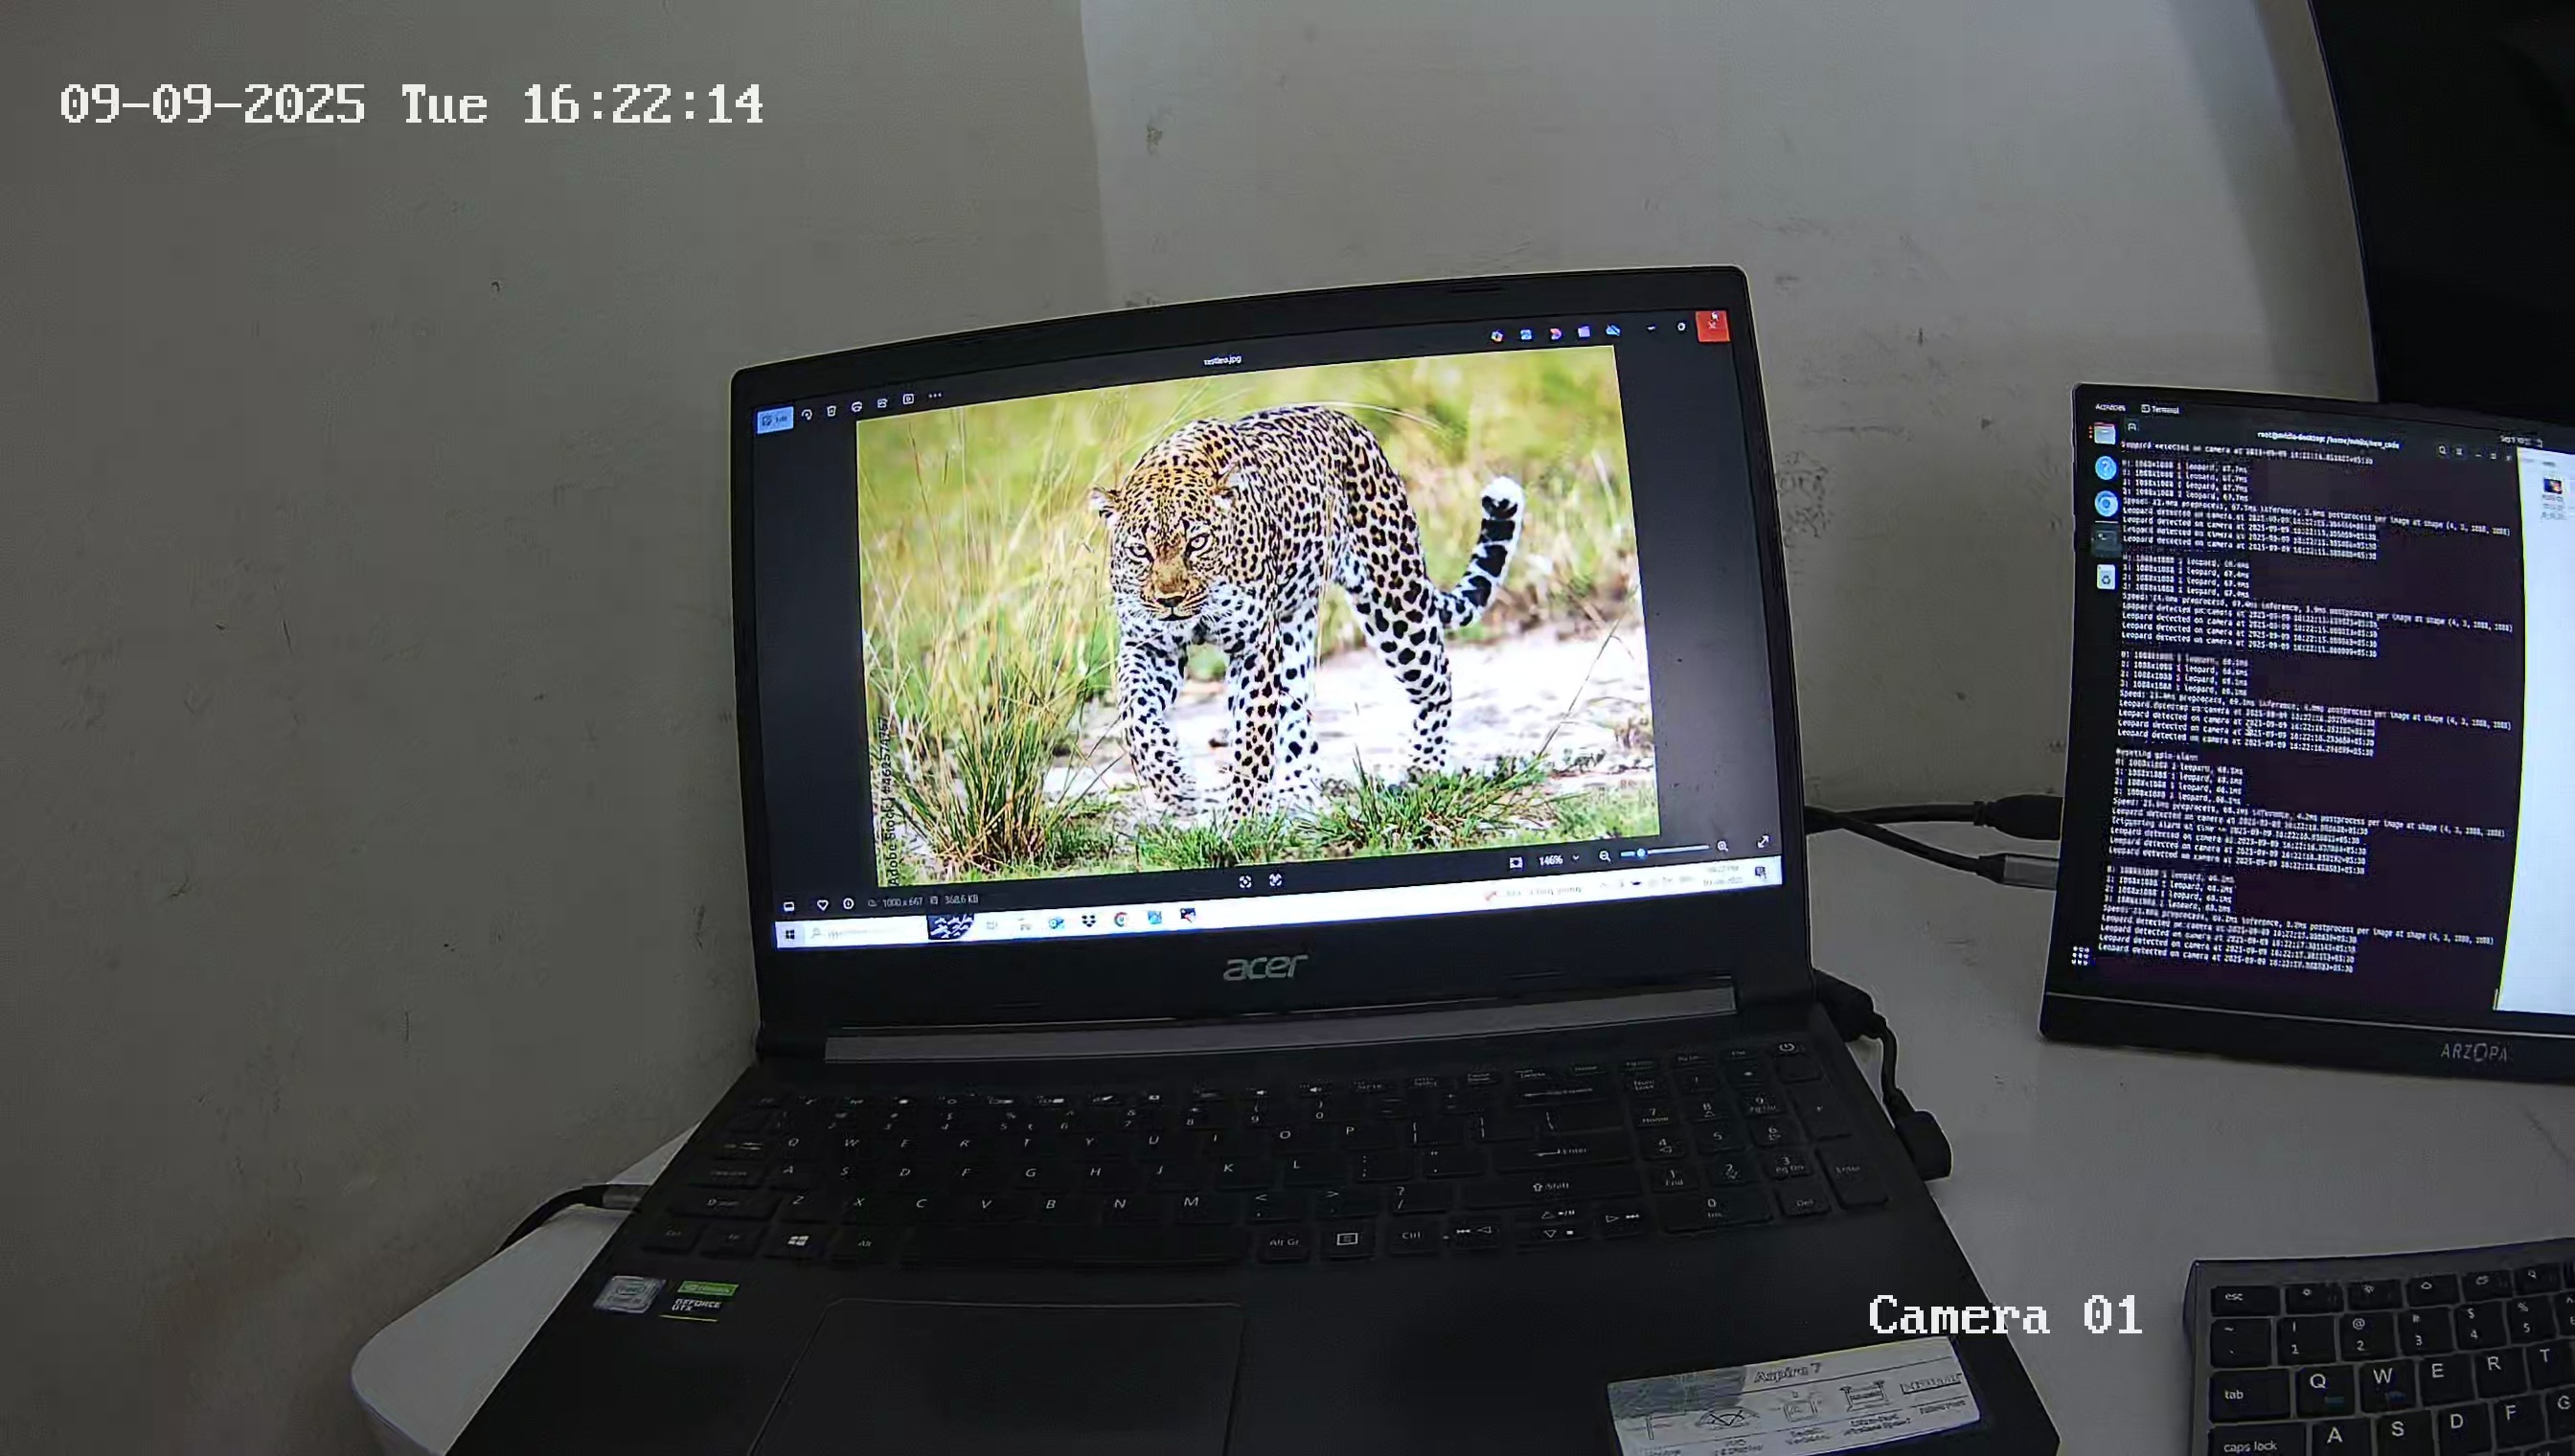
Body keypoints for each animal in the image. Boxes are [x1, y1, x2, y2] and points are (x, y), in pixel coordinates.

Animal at [1091, 403, 1525, 822]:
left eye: (1196, 543)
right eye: (1140, 551)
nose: (1170, 599)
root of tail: (1349, 422)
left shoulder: (1253, 647)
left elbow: (1252, 738)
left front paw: (1242, 820)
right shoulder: (1150, 646)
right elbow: (1134, 714)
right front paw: (1174, 785)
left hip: (1394, 601)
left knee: (1437, 680)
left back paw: (1425, 769)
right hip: (1294, 629)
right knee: (1297, 713)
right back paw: (1298, 792)